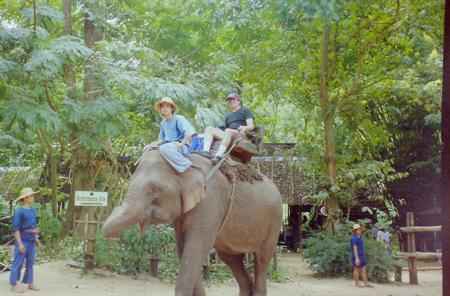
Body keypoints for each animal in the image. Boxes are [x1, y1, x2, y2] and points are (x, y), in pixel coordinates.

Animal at [103, 150, 284, 296]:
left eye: (155, 190)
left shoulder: (210, 200)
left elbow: (195, 247)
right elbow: (184, 249)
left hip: (274, 222)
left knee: (262, 259)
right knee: (232, 259)